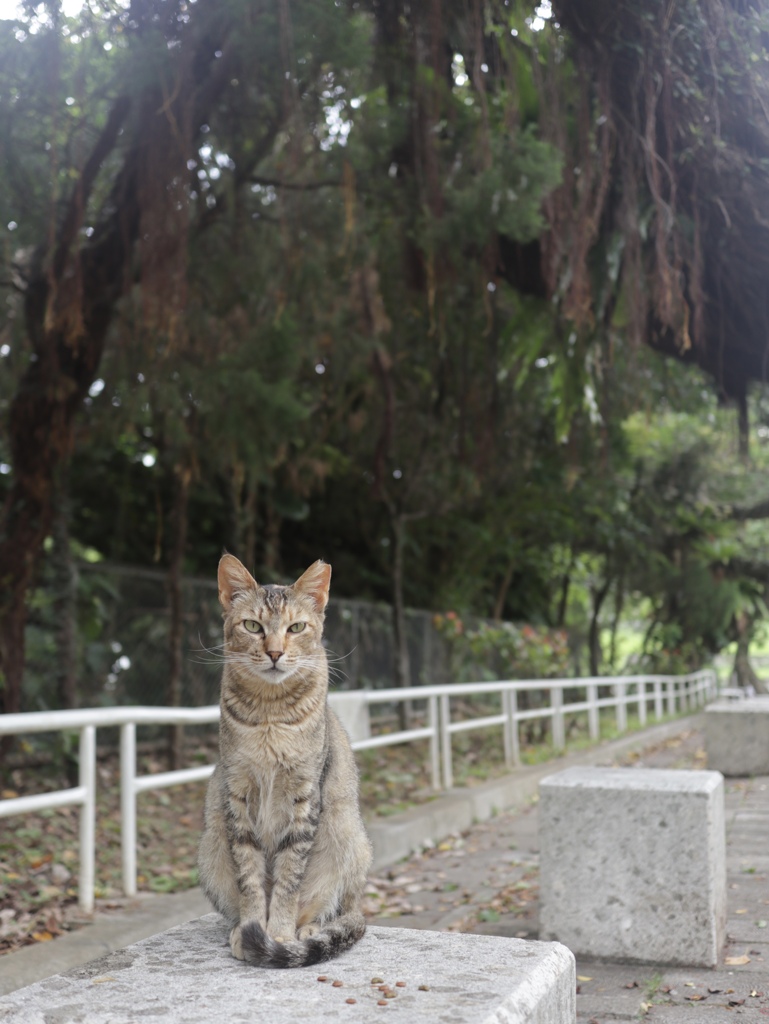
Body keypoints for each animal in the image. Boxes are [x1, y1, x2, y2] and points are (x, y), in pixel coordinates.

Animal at [196, 557, 370, 962]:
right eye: (252, 626)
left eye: (296, 627)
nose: (275, 653)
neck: (270, 715)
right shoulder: (237, 793)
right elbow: (250, 878)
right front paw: (253, 928)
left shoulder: (305, 795)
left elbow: (290, 876)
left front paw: (279, 934)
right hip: (211, 848)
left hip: (349, 837)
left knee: (335, 910)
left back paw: (306, 930)